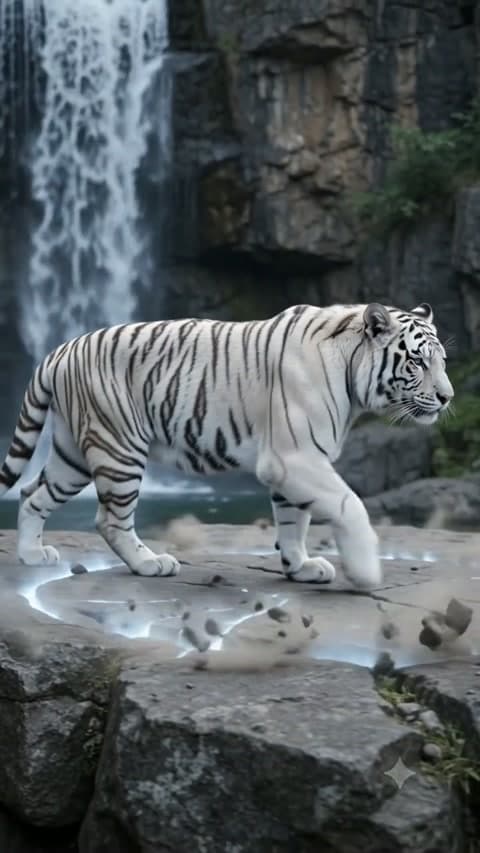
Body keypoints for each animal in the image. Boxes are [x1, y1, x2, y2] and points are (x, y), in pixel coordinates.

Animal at [0, 301, 452, 588]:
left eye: (443, 361)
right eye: (417, 361)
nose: (447, 397)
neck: (351, 375)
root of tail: (59, 349)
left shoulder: (294, 463)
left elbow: (294, 520)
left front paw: (300, 567)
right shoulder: (295, 457)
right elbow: (349, 506)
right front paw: (366, 573)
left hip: (72, 454)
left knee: (32, 493)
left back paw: (32, 555)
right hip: (119, 446)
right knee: (109, 519)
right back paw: (150, 563)